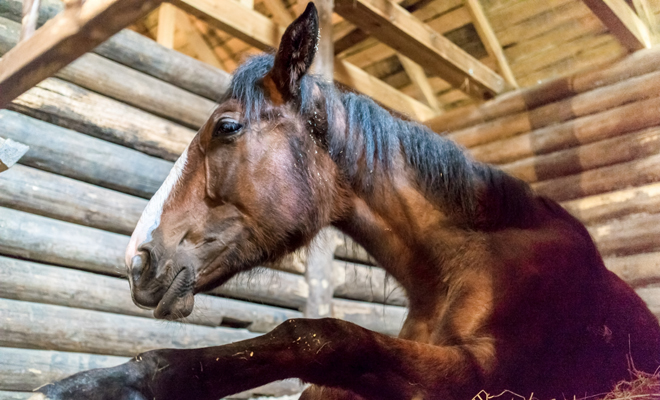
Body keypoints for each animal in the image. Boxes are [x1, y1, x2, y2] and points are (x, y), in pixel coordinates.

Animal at [34, 3, 660, 400]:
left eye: (227, 127)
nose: (138, 260)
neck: (461, 261)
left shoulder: (483, 372)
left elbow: (318, 336)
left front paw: (92, 387)